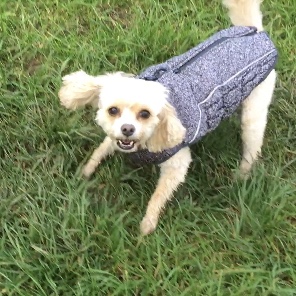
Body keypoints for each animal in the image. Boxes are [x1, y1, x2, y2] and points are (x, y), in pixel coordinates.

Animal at [58, 0, 278, 236]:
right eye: (113, 110)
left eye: (145, 114)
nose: (127, 129)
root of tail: (256, 32)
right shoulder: (115, 137)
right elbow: (102, 148)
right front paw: (87, 171)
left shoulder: (176, 164)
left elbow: (159, 195)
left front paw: (147, 224)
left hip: (254, 112)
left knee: (252, 146)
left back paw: (242, 174)